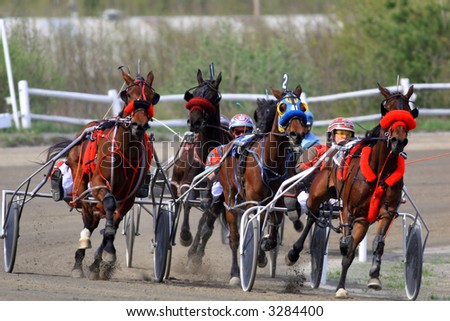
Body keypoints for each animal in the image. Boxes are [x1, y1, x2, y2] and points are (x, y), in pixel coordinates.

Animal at [46, 67, 159, 278]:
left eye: (151, 97)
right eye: (128, 95)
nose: (138, 125)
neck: (126, 151)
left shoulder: (129, 197)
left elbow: (114, 221)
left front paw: (102, 259)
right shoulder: (99, 183)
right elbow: (108, 204)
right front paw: (101, 254)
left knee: (99, 218)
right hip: (80, 180)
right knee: (88, 216)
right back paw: (79, 257)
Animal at [171, 67, 230, 248]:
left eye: (212, 97)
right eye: (195, 94)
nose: (195, 122)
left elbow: (208, 216)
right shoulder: (186, 181)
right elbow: (187, 200)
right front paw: (184, 235)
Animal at [219, 85, 310, 284]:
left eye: (302, 107)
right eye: (282, 107)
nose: (297, 134)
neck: (270, 161)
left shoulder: (278, 200)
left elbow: (273, 228)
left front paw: (266, 245)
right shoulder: (254, 201)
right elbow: (256, 227)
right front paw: (256, 256)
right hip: (230, 199)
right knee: (234, 237)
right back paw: (235, 272)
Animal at [284, 82, 418, 296]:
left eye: (407, 112)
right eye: (387, 111)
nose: (398, 140)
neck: (379, 170)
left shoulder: (384, 212)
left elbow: (376, 243)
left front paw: (373, 276)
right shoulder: (348, 208)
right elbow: (346, 246)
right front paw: (341, 287)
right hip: (317, 191)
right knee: (312, 215)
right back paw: (293, 253)